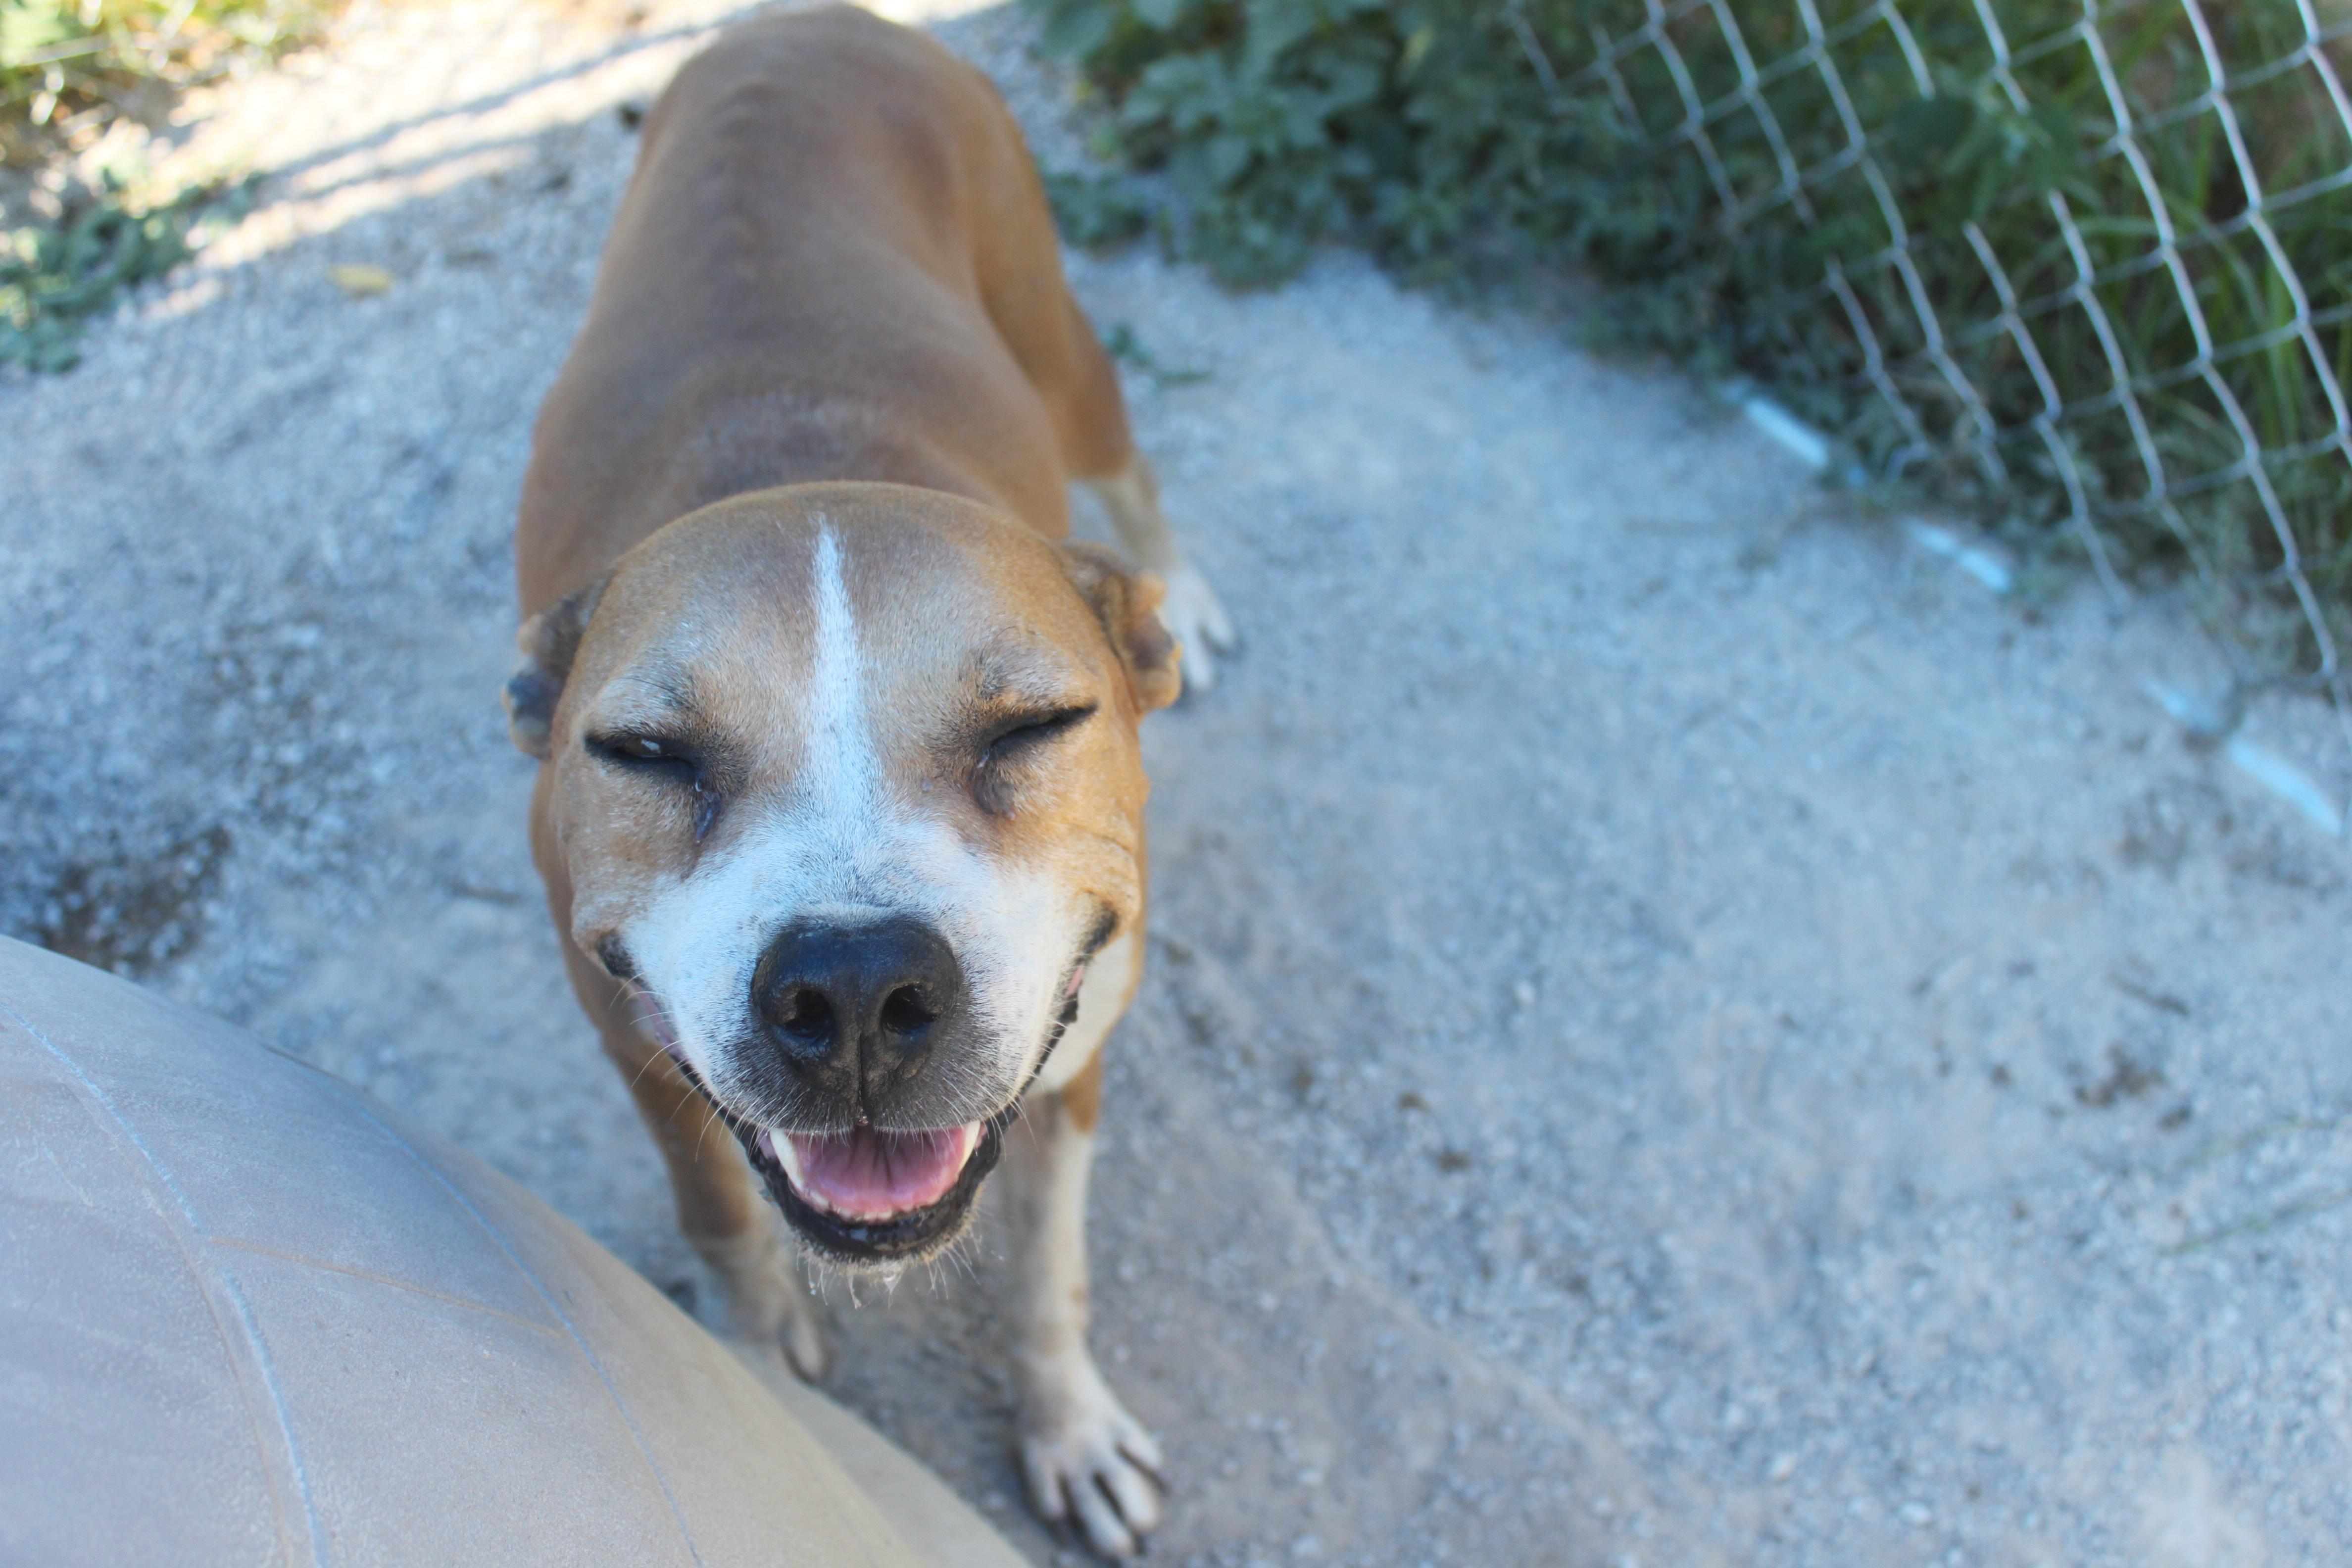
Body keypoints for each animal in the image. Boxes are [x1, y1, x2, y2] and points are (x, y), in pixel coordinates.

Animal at [503, 6, 1223, 1561]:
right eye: (646, 753)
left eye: (1032, 727)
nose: (850, 992)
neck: (804, 468)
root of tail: (807, 23)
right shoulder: (630, 1041)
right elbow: (719, 1219)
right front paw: (755, 1355)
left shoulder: (1079, 1056)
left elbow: (1047, 1272)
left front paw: (1067, 1426)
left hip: (1057, 335)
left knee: (1133, 469)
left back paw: (1183, 596)